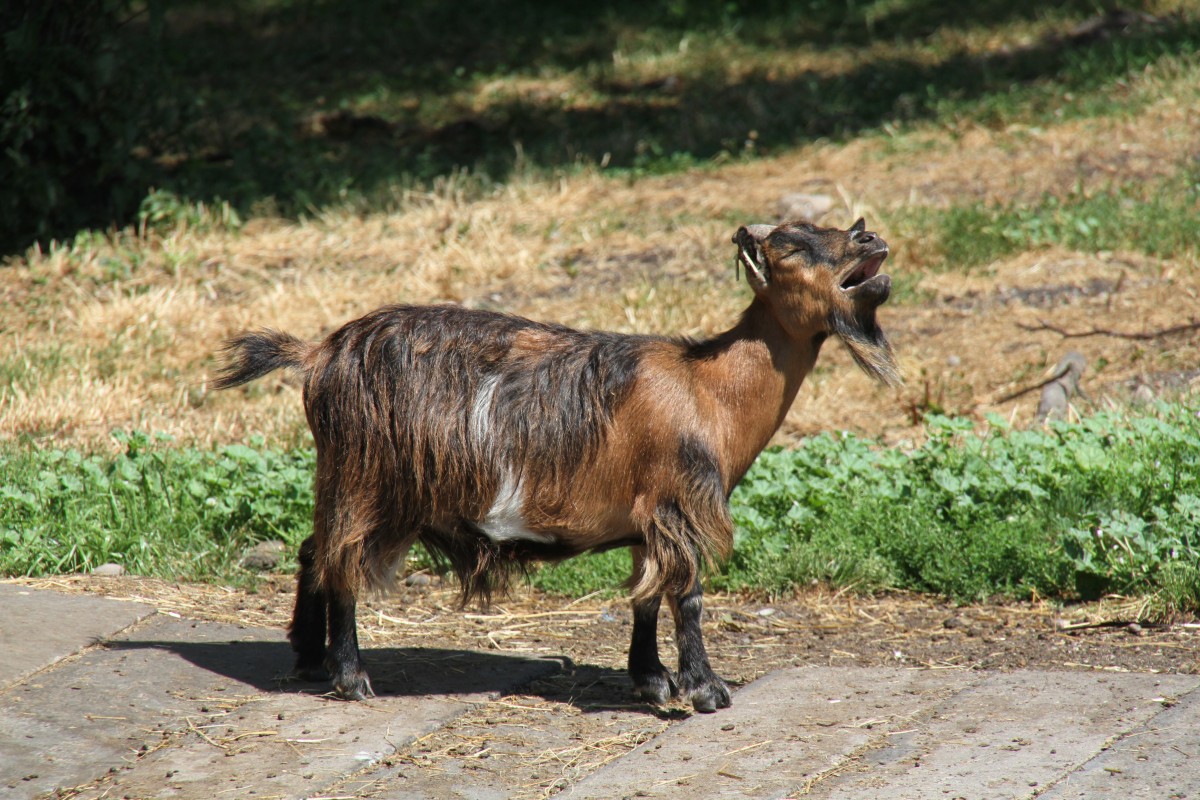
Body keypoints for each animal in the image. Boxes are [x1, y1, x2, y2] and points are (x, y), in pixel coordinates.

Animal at [211, 217, 897, 714]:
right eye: (792, 248)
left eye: (842, 228)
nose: (870, 239)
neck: (707, 386)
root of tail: (317, 355)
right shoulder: (677, 504)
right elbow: (687, 596)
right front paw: (705, 690)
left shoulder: (648, 517)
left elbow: (644, 596)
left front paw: (650, 679)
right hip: (368, 478)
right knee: (341, 562)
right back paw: (351, 676)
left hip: (351, 479)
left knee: (313, 550)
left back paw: (310, 658)